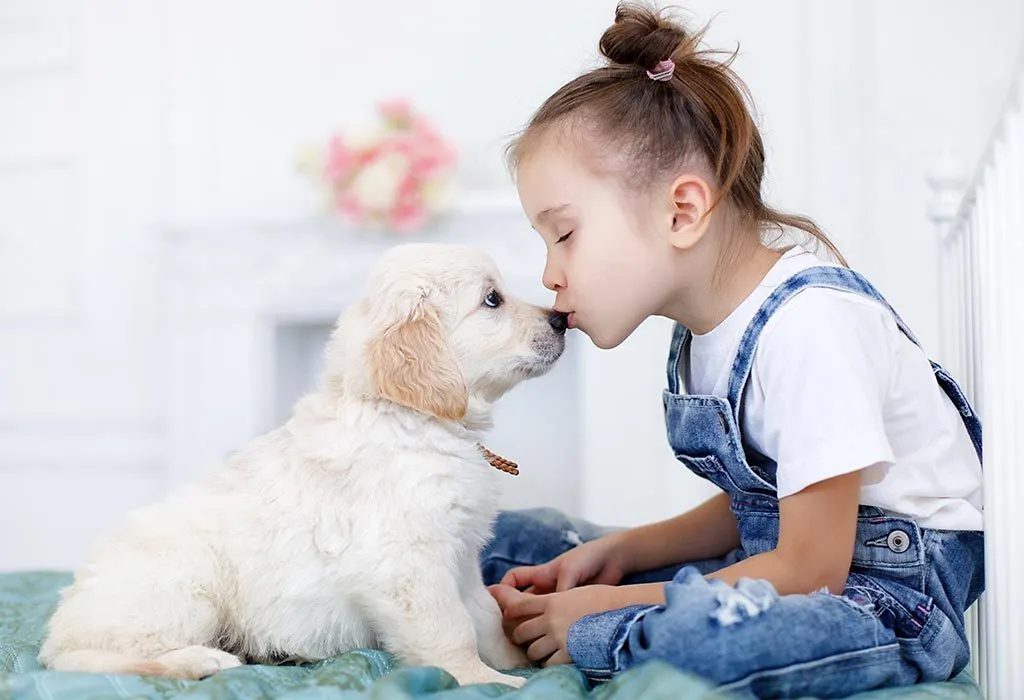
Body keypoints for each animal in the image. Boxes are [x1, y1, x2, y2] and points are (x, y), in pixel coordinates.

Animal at [39, 243, 569, 687]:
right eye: (492, 299)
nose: (562, 318)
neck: (408, 418)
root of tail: (56, 632)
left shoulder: (460, 556)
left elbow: (485, 614)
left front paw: (520, 657)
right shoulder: (408, 562)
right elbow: (451, 628)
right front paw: (487, 681)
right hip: (183, 590)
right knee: (100, 659)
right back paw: (199, 661)